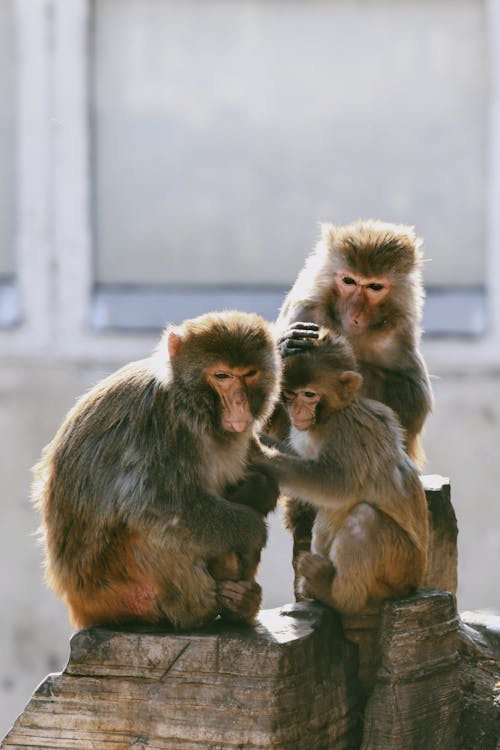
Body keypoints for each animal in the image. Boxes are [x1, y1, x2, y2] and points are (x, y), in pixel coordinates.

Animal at [262, 332, 430, 612]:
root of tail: (414, 584)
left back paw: (336, 595)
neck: (331, 414)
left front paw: (259, 455)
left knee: (364, 516)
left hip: (399, 566)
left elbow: (336, 484)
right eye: (289, 394)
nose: (296, 411)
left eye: (309, 394)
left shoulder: (346, 433)